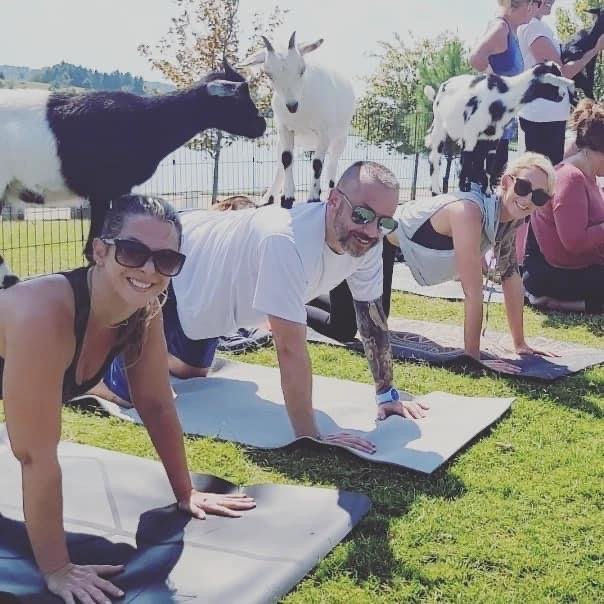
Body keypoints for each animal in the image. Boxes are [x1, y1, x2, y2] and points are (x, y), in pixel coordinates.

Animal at [0, 60, 266, 288]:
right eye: (239, 100)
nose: (262, 125)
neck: (145, 120)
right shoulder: (111, 186)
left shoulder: (104, 190)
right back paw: (10, 279)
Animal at [239, 32, 356, 208]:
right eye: (269, 74)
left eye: (302, 69)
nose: (292, 106)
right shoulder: (285, 129)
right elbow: (286, 159)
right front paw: (287, 198)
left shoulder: (324, 133)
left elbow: (317, 163)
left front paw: (313, 197)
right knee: (280, 163)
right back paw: (268, 198)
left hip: (340, 138)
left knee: (331, 163)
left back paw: (328, 194)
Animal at [424, 62, 575, 194]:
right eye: (555, 81)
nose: (563, 95)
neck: (504, 97)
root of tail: (439, 90)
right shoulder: (471, 133)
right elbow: (468, 159)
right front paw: (464, 187)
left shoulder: (492, 137)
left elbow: (487, 165)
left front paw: (487, 190)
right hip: (439, 128)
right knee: (434, 159)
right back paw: (436, 190)